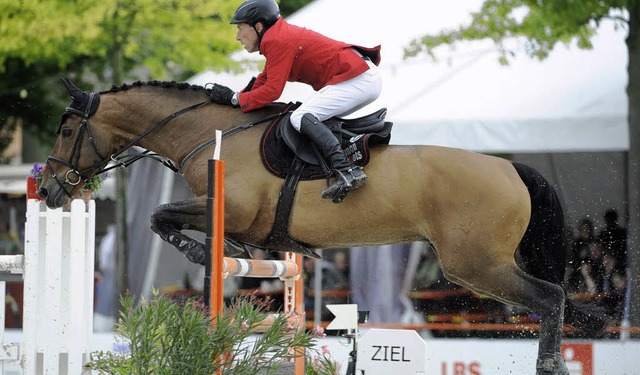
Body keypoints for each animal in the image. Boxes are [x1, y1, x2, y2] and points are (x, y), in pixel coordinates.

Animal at [37, 78, 608, 374]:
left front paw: (204, 254)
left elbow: (162, 217)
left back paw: (551, 365)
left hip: (475, 265)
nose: (48, 191)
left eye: (66, 129)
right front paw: (225, 251)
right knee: (551, 298)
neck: (210, 132)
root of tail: (510, 167)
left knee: (551, 297)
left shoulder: (223, 206)